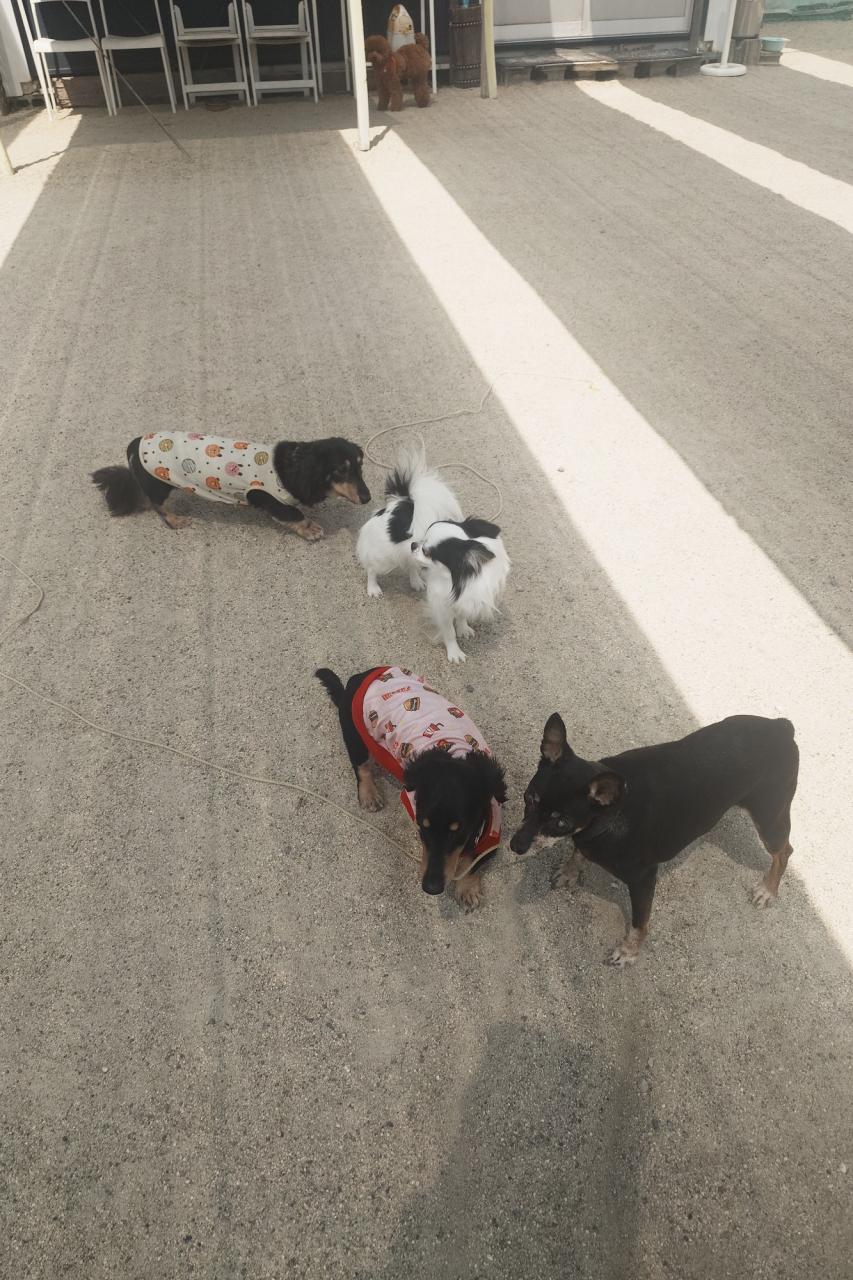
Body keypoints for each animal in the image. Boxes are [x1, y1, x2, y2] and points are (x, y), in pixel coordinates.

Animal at [92, 433, 370, 540]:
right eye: (340, 470)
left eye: (360, 466)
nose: (368, 498)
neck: (293, 465)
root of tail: (135, 444)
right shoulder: (272, 501)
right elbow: (295, 514)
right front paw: (310, 529)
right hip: (160, 486)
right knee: (157, 504)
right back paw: (176, 520)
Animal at [315, 664, 506, 910]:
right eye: (422, 827)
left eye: (459, 831)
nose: (431, 888)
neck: (456, 753)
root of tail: (357, 679)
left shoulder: (493, 831)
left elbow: (474, 864)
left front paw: (467, 889)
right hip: (355, 734)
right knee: (361, 767)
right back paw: (369, 794)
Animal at [356, 446, 462, 598]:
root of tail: (403, 502)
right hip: (382, 558)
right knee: (372, 570)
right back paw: (373, 589)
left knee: (411, 564)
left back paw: (416, 582)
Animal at [412, 518, 510, 664]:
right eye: (422, 538)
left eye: (426, 552)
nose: (413, 544)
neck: (453, 579)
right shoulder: (442, 606)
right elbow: (449, 632)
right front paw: (455, 652)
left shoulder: (465, 599)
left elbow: (462, 614)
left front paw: (463, 628)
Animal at [509, 713, 798, 967]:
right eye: (529, 798)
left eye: (561, 822)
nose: (516, 846)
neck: (612, 815)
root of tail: (781, 727)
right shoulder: (586, 838)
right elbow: (578, 852)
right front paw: (570, 872)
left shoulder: (644, 879)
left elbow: (640, 922)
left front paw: (629, 952)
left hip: (769, 819)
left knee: (784, 852)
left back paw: (768, 890)